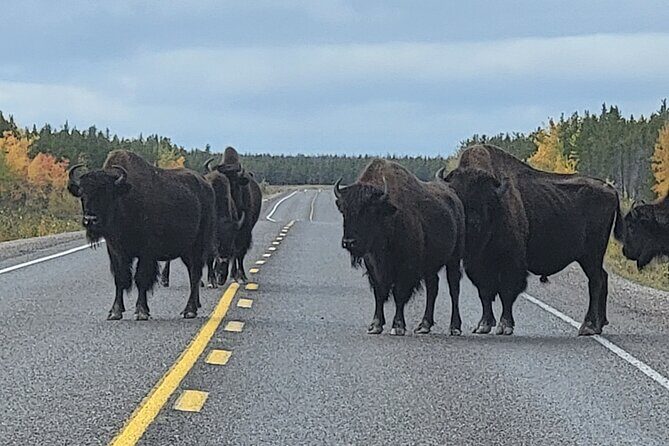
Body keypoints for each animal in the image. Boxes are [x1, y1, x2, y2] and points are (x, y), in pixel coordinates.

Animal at [67, 150, 216, 320]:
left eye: (107, 193)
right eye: (82, 194)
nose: (90, 219)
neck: (124, 197)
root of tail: (206, 185)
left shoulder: (146, 251)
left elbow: (141, 278)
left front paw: (141, 311)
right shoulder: (115, 251)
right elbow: (120, 278)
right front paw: (115, 312)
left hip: (198, 245)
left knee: (195, 273)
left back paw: (189, 310)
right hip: (185, 250)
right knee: (193, 273)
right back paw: (195, 306)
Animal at [335, 159, 465, 336]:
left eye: (368, 211)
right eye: (344, 211)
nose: (349, 242)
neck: (387, 214)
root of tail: (453, 197)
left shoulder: (406, 267)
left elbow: (399, 294)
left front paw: (398, 326)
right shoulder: (373, 266)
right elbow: (379, 293)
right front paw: (375, 325)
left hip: (454, 258)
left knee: (454, 288)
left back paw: (454, 327)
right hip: (430, 265)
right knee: (433, 287)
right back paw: (424, 325)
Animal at [440, 144, 625, 335]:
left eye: (486, 198)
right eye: (457, 195)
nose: (472, 223)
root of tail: (611, 190)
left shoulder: (511, 263)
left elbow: (507, 292)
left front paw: (505, 326)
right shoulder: (477, 264)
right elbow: (484, 293)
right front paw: (483, 325)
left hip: (591, 255)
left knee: (595, 282)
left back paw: (588, 327)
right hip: (591, 257)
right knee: (602, 278)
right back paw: (599, 324)